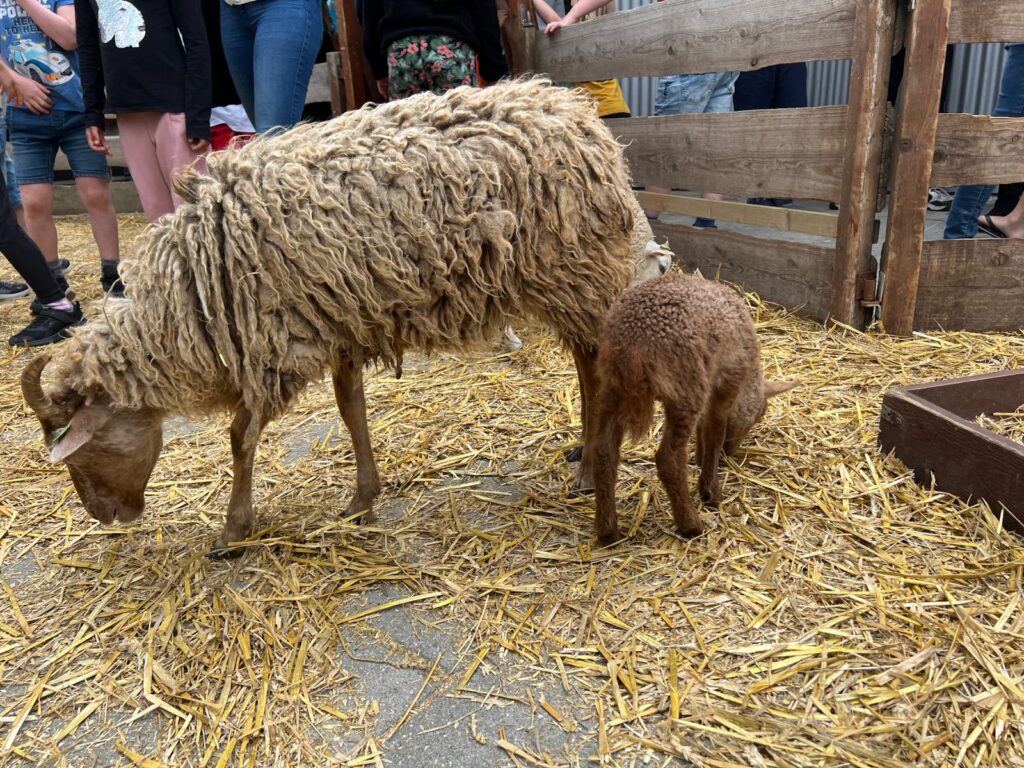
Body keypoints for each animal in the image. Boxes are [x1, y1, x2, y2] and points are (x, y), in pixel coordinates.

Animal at [19, 78, 667, 552]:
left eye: (81, 451)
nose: (110, 517)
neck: (194, 294)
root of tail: (581, 115)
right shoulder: (336, 321)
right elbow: (349, 406)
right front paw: (362, 499)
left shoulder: (275, 343)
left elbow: (240, 437)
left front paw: (232, 529)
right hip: (567, 278)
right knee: (586, 362)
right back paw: (584, 453)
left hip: (573, 270)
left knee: (592, 363)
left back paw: (589, 471)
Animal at [589, 272, 794, 548]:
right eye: (759, 415)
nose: (730, 455)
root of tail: (633, 344)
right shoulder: (726, 382)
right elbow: (715, 432)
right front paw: (710, 490)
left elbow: (705, 429)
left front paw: (699, 457)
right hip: (685, 386)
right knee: (669, 460)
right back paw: (691, 525)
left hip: (612, 385)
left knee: (603, 451)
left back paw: (608, 532)